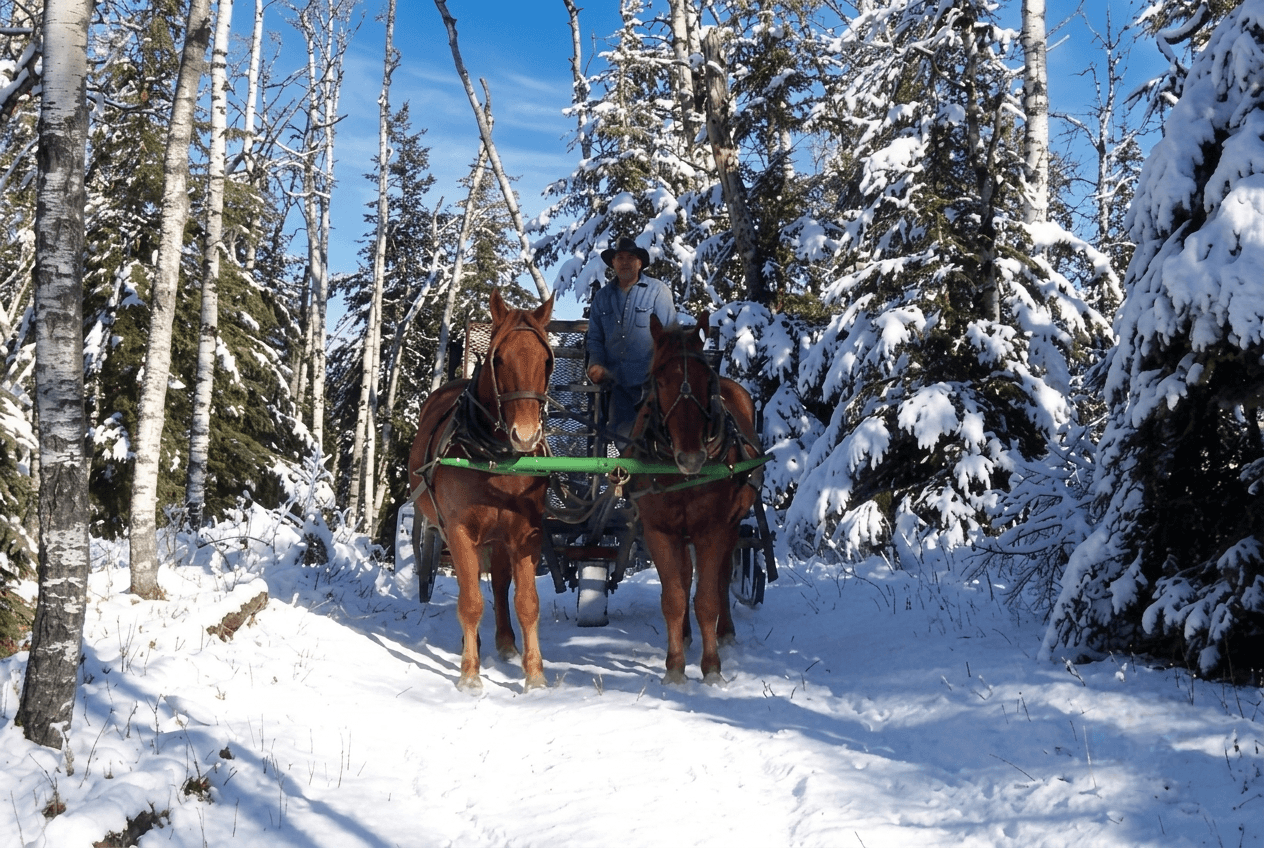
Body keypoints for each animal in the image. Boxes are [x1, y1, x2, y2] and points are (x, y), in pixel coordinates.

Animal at [407, 289, 555, 693]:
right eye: (498, 359)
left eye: (547, 361)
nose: (526, 436)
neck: (498, 462)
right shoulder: (457, 529)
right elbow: (470, 601)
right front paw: (469, 673)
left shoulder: (526, 533)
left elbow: (526, 602)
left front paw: (534, 675)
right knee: (469, 584)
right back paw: (467, 644)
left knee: (501, 584)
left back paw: (505, 643)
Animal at [627, 313, 764, 686]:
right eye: (659, 381)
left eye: (706, 381)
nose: (691, 458)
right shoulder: (658, 531)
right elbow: (674, 596)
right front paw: (674, 667)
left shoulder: (712, 529)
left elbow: (707, 598)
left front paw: (712, 668)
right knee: (686, 578)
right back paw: (686, 636)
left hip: (731, 526)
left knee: (720, 579)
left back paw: (725, 632)